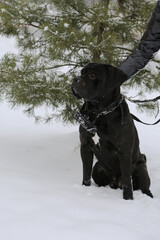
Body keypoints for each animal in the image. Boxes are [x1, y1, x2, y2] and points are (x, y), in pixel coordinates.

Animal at [72, 61, 153, 199]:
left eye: (92, 75)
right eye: (82, 72)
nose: (75, 79)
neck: (99, 113)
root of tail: (116, 182)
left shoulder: (124, 152)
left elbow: (127, 182)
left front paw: (128, 199)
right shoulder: (85, 146)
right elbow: (86, 172)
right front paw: (85, 188)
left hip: (140, 169)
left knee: (144, 187)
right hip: (98, 168)